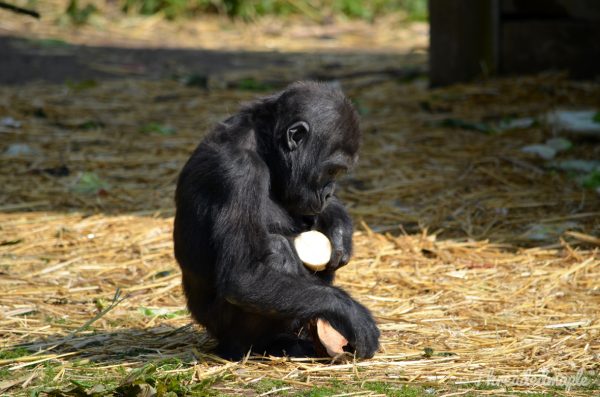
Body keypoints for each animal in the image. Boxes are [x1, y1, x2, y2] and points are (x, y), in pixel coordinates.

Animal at [173, 81, 380, 358]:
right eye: (332, 170)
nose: (328, 193)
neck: (265, 147)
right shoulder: (238, 171)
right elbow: (243, 274)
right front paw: (351, 314)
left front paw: (339, 230)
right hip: (217, 326)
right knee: (276, 250)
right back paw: (253, 345)